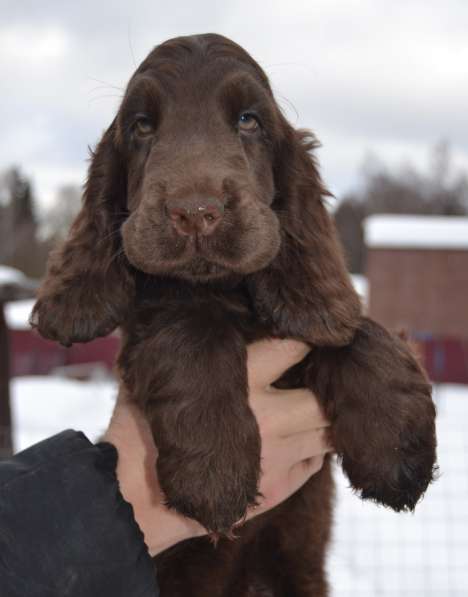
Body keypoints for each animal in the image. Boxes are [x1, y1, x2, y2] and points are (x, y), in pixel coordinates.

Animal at [31, 35, 436, 592]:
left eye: (248, 120)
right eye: (142, 126)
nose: (195, 213)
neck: (224, 289)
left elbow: (351, 328)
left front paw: (398, 454)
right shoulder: (155, 321)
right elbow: (187, 326)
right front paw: (214, 475)